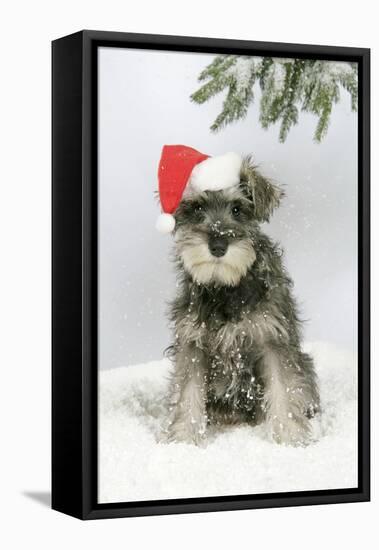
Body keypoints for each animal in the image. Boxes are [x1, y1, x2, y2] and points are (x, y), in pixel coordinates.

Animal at [160, 151, 320, 448]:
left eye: (237, 209)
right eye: (197, 208)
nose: (218, 246)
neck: (225, 287)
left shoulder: (272, 339)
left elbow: (284, 389)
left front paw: (290, 438)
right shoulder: (192, 344)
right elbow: (187, 393)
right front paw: (184, 439)